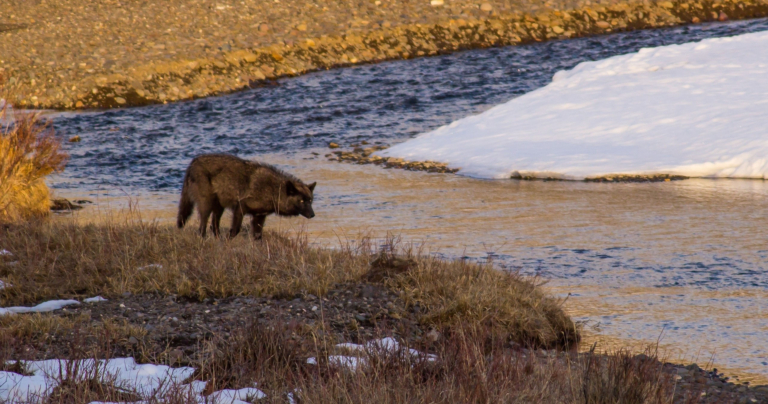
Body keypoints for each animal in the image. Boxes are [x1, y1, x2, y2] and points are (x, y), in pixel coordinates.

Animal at [176, 154, 316, 239]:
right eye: (301, 201)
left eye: (310, 201)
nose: (313, 215)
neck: (272, 191)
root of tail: (193, 162)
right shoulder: (240, 208)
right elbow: (235, 231)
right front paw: (227, 243)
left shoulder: (259, 216)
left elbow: (258, 236)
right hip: (207, 206)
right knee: (202, 227)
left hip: (219, 208)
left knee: (213, 226)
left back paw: (217, 240)